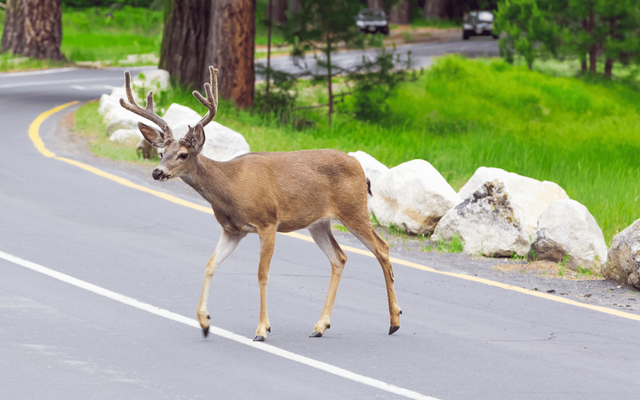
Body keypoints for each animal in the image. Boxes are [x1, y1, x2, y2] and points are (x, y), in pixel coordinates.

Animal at [119, 65, 400, 340]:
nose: (157, 172)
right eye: (160, 152)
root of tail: (361, 169)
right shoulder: (232, 230)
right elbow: (210, 264)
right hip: (318, 223)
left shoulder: (267, 222)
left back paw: (394, 321)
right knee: (339, 257)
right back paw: (321, 326)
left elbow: (261, 274)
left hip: (354, 209)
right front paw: (204, 322)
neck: (231, 188)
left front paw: (262, 329)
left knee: (382, 248)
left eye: (183, 154)